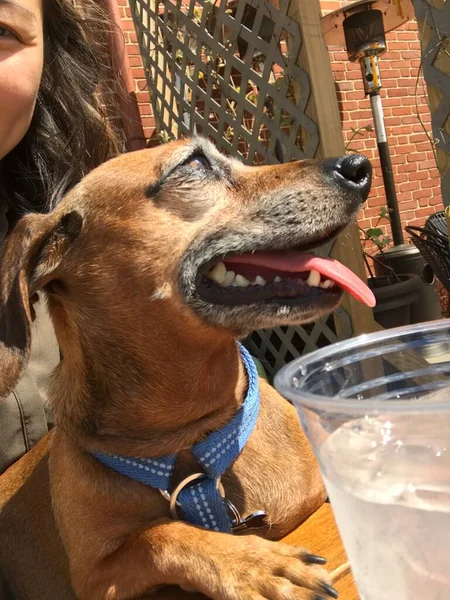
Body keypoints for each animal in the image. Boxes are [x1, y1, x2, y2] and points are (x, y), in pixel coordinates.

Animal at [0, 138, 372, 596]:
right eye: (193, 163)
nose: (358, 166)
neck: (192, 434)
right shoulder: (94, 577)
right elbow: (159, 535)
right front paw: (258, 565)